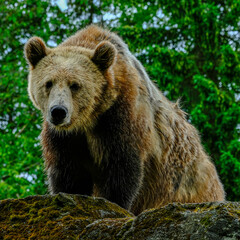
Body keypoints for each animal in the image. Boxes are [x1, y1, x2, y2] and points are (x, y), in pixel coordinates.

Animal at [24, 25, 225, 215]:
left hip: (188, 186)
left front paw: (114, 202)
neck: (89, 120)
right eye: (48, 83)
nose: (58, 112)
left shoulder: (122, 117)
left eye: (75, 85)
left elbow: (122, 167)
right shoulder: (65, 137)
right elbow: (69, 172)